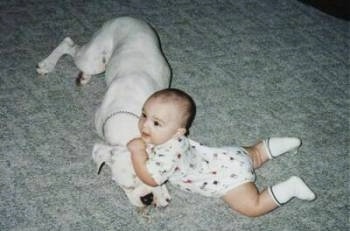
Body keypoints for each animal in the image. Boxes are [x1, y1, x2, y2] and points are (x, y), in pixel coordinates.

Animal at [36, 16, 171, 208]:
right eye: (126, 187)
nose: (147, 198)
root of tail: (125, 17)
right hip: (93, 60)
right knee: (69, 45)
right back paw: (48, 64)